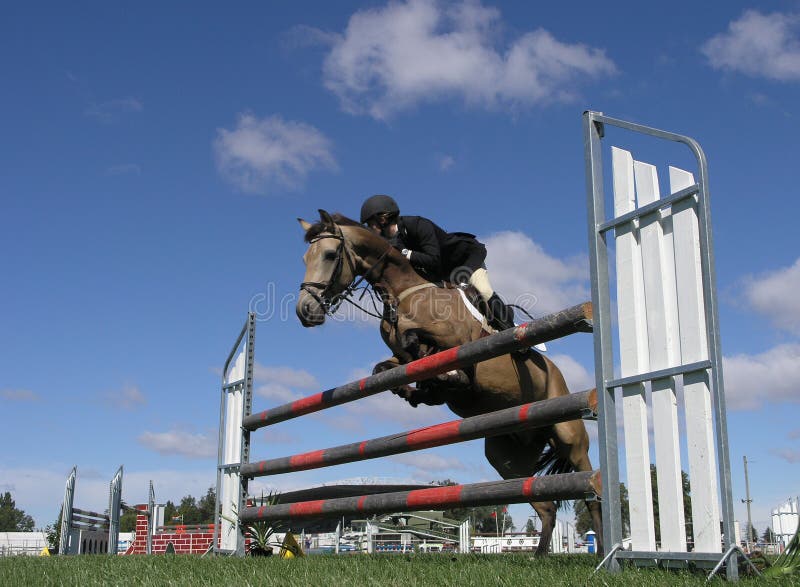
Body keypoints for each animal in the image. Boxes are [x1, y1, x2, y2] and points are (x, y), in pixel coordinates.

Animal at [296, 211, 604, 556]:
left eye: (329, 255)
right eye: (305, 258)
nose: (304, 310)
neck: (402, 293)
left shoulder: (454, 339)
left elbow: (423, 345)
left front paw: (444, 379)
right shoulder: (401, 359)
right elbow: (387, 366)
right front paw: (418, 392)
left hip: (568, 435)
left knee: (591, 493)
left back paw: (602, 551)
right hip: (507, 459)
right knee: (545, 505)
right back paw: (538, 558)